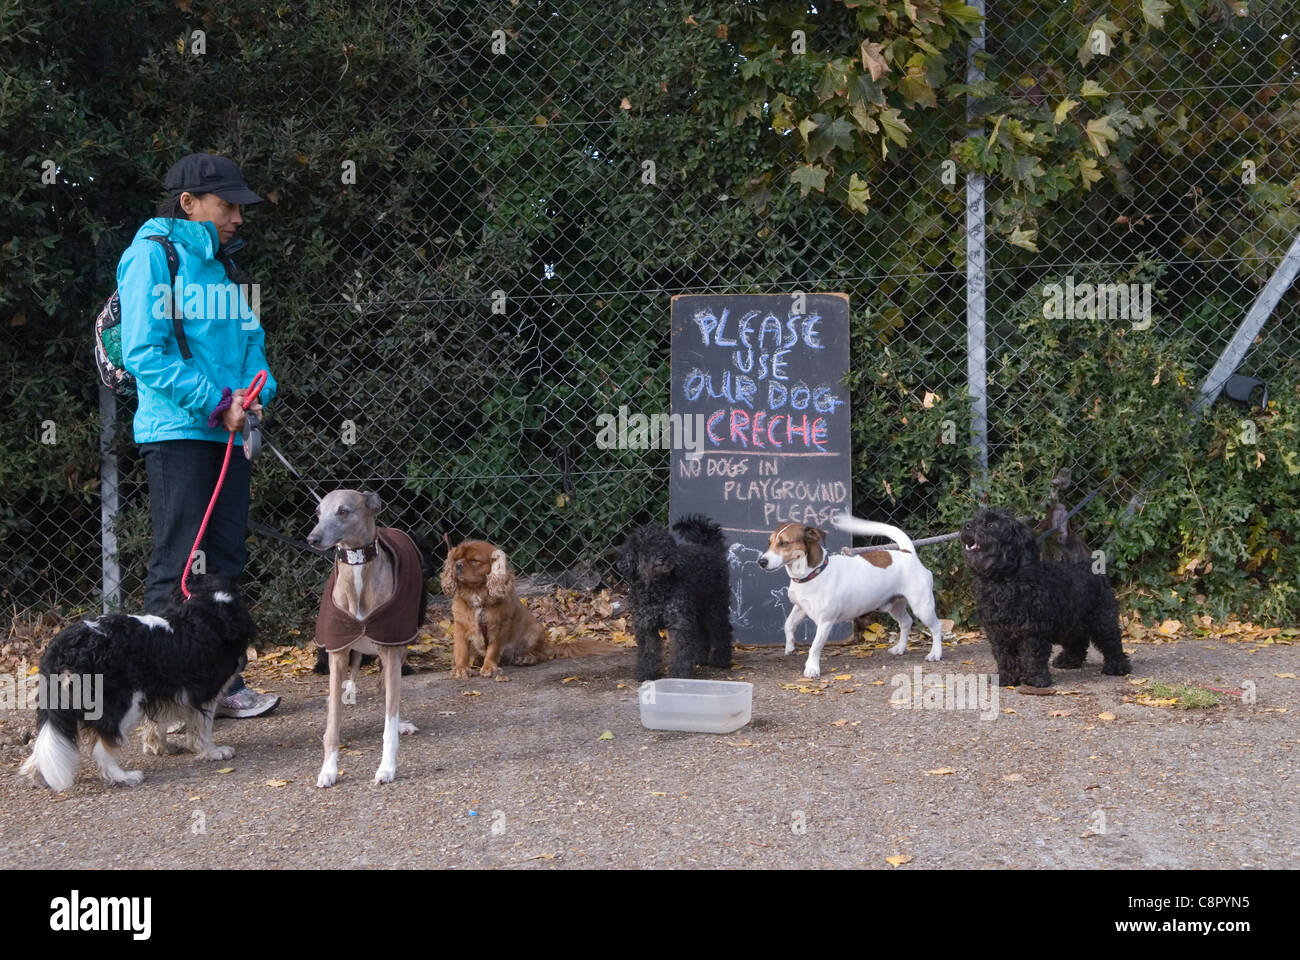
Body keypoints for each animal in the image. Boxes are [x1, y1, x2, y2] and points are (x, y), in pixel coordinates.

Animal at [616, 512, 733, 676]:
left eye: (666, 545)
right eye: (645, 547)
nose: (662, 558)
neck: (656, 589)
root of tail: (710, 547)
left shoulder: (679, 621)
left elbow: (680, 650)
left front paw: (679, 675)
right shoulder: (645, 624)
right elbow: (648, 650)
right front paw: (646, 672)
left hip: (714, 606)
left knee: (721, 630)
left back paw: (721, 660)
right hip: (698, 610)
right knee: (702, 633)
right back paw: (699, 658)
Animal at [961, 504, 1133, 686]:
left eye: (991, 525)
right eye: (976, 519)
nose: (967, 525)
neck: (1003, 581)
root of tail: (1089, 567)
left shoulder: (1034, 630)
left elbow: (1033, 655)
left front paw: (1036, 679)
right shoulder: (998, 632)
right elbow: (1004, 656)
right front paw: (1006, 677)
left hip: (1102, 620)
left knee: (1112, 643)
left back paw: (1117, 667)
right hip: (1071, 622)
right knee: (1078, 642)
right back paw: (1069, 660)